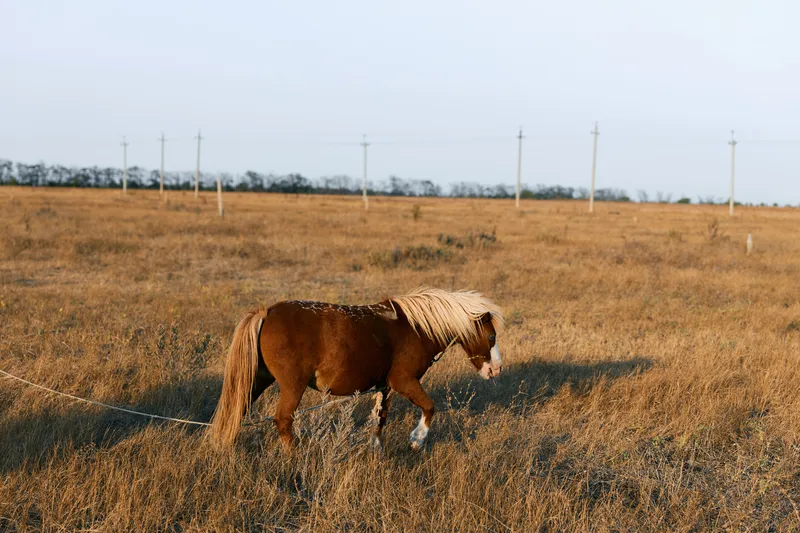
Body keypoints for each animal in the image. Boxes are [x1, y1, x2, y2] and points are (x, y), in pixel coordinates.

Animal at [209, 287, 504, 452]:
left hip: (258, 379)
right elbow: (430, 407)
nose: (496, 369)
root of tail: (267, 312)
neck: (415, 328)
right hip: (293, 385)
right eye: (491, 336)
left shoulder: (385, 386)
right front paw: (416, 440)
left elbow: (379, 419)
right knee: (282, 420)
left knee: (237, 409)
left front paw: (376, 451)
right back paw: (293, 458)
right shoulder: (404, 381)